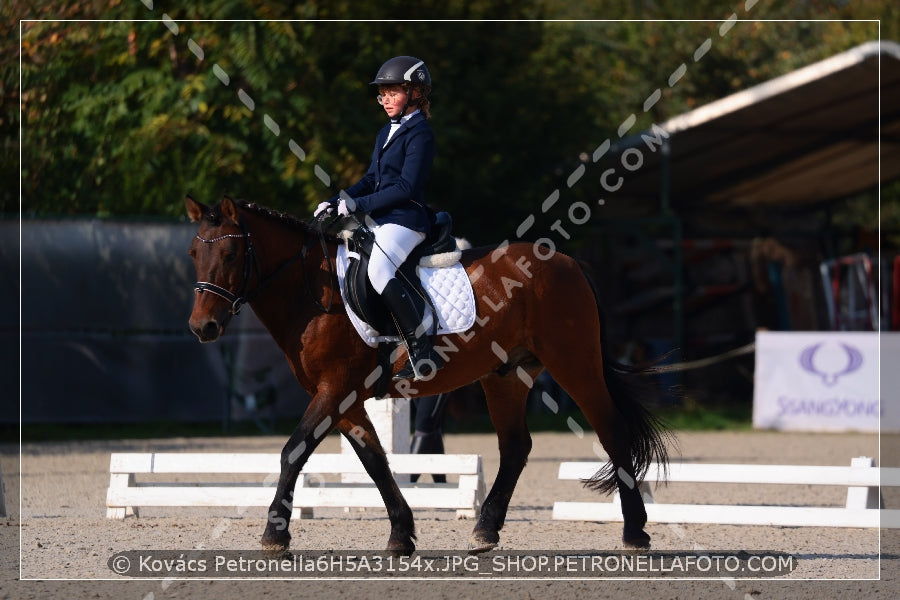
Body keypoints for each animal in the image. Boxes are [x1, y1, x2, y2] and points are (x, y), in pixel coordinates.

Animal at [186, 196, 672, 552]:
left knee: (610, 430)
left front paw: (275, 534)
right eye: (194, 253)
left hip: (574, 363)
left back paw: (635, 532)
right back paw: (485, 531)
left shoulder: (334, 390)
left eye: (230, 252)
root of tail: (567, 262)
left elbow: (293, 452)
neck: (313, 292)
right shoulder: (346, 400)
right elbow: (375, 462)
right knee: (516, 447)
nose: (201, 327)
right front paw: (401, 535)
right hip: (506, 375)